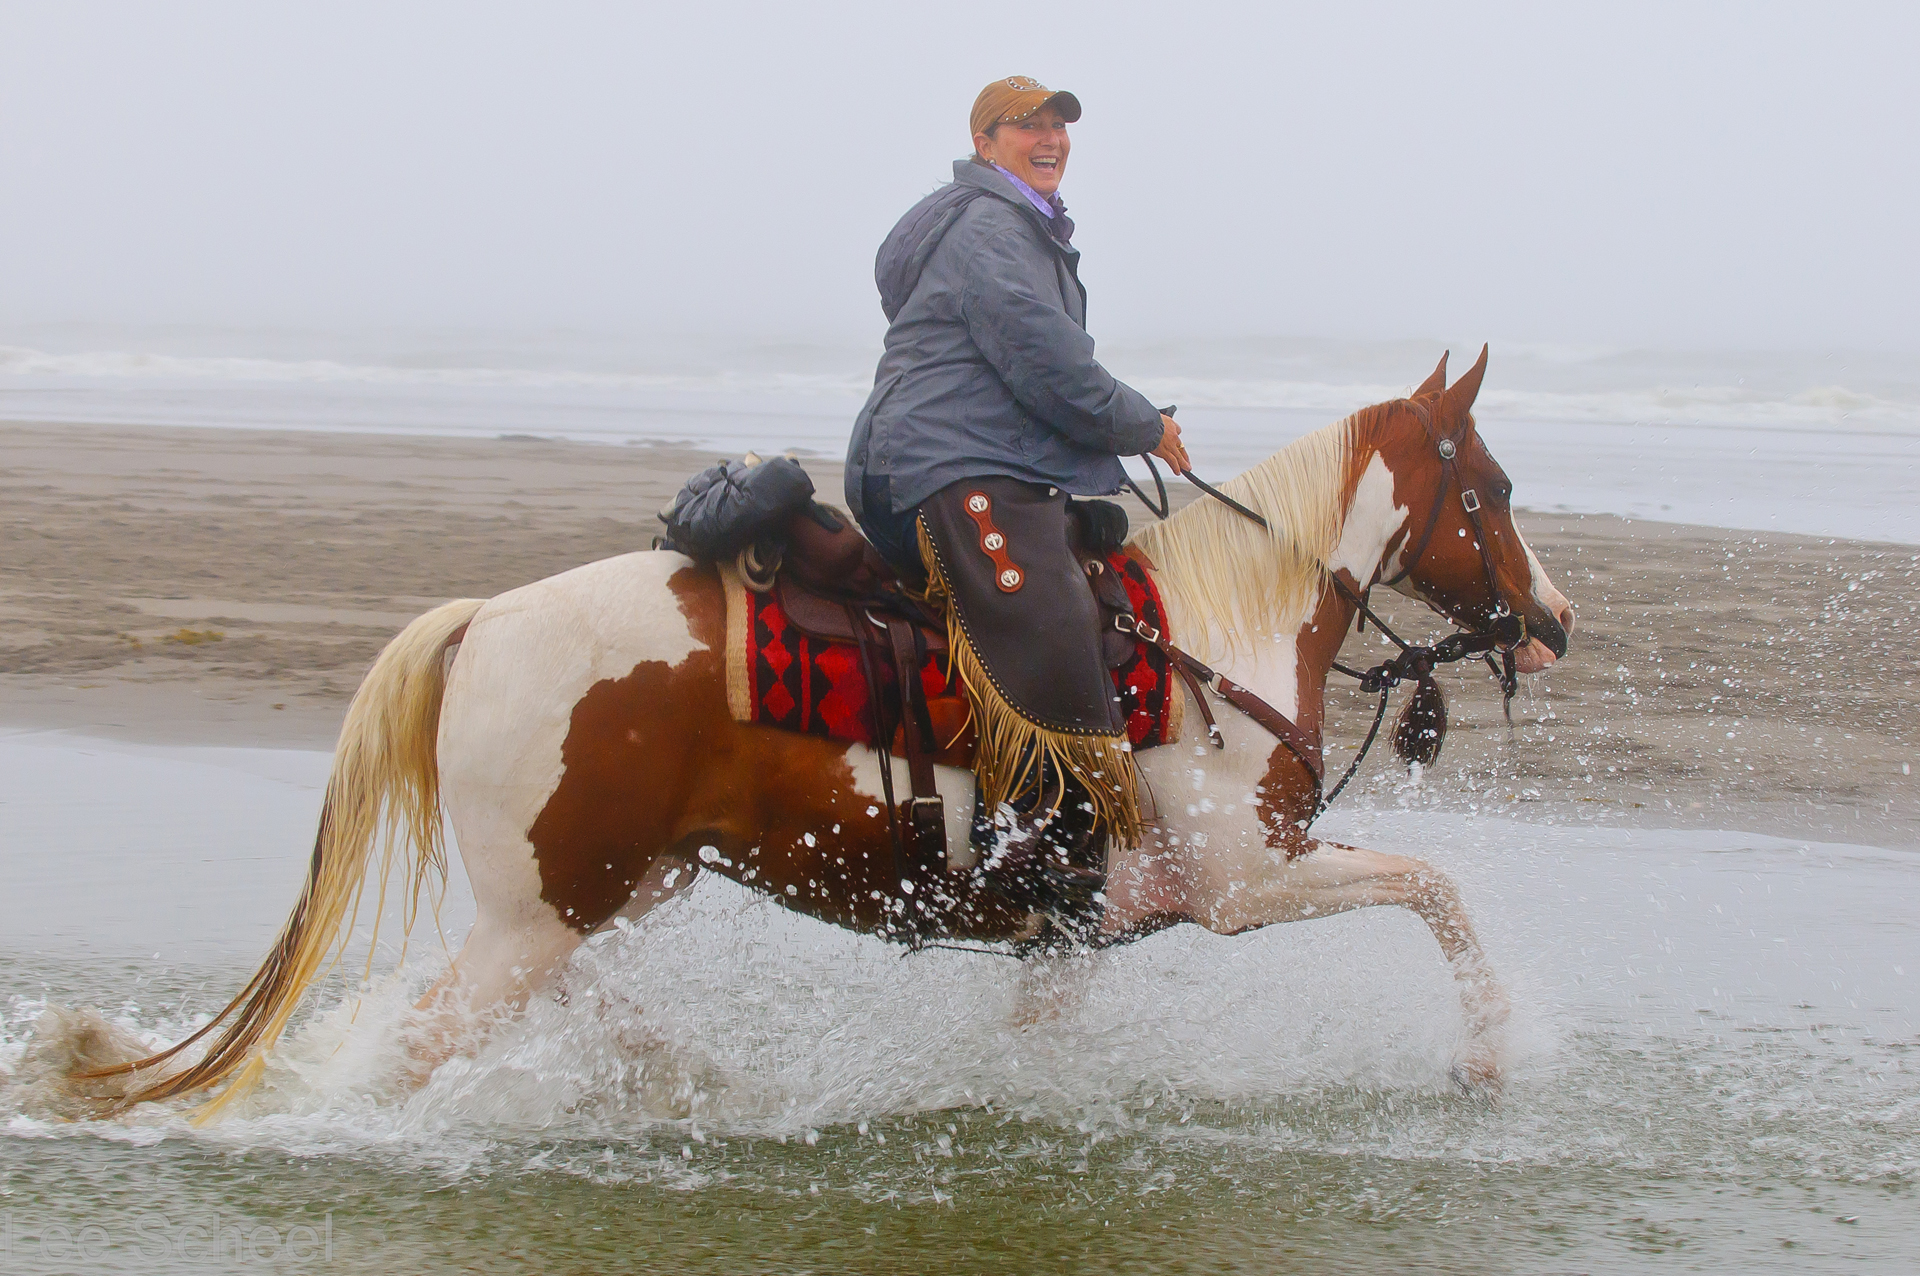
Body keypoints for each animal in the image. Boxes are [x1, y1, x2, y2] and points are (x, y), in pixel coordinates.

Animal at [82, 349, 1566, 1112]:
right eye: (1489, 488)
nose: (1551, 618)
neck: (1214, 635)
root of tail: (483, 621)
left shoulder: (1078, 930)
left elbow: (1038, 1048)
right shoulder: (1245, 886)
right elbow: (1439, 888)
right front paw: (1490, 1056)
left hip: (608, 893)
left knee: (560, 1004)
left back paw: (689, 1079)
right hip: (544, 914)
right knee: (414, 1049)